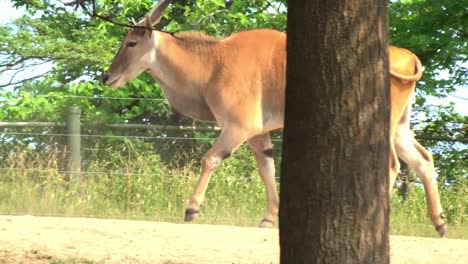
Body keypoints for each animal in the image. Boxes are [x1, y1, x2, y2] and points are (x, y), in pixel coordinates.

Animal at [101, 0, 446, 236]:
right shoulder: (257, 133)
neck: (214, 62)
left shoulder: (240, 126)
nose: (107, 76)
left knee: (391, 164)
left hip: (380, 124)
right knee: (423, 159)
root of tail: (409, 57)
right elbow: (267, 168)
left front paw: (192, 208)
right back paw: (439, 222)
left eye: (131, 42)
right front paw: (269, 218)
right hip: (399, 128)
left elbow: (210, 159)